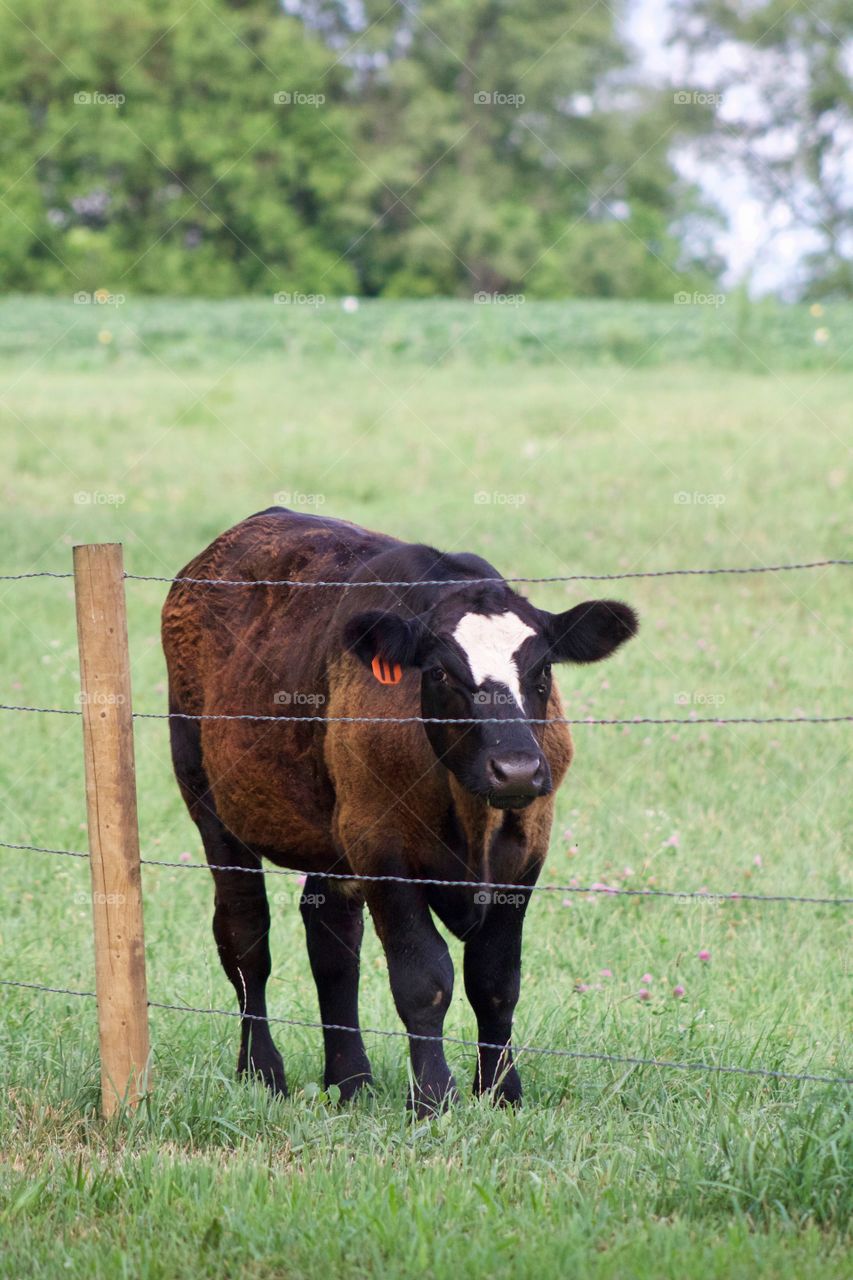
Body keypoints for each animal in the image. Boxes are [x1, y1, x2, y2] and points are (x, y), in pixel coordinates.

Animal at [161, 506, 637, 1111]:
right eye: (440, 673)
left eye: (543, 671)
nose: (516, 768)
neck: (469, 813)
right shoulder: (381, 846)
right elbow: (423, 979)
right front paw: (433, 1097)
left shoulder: (527, 849)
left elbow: (495, 980)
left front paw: (501, 1092)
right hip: (211, 804)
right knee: (246, 938)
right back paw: (262, 1071)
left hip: (332, 835)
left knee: (332, 943)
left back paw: (350, 1081)